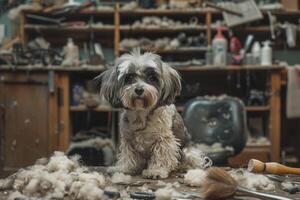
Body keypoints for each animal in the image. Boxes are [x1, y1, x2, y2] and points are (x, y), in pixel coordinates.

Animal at [99, 49, 189, 179]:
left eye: (152, 77)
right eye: (129, 77)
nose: (139, 89)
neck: (141, 115)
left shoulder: (163, 139)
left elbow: (161, 154)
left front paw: (156, 170)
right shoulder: (128, 140)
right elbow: (128, 155)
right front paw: (124, 168)